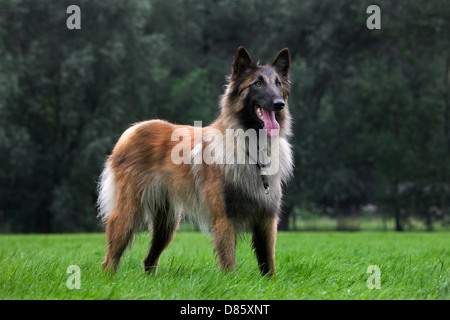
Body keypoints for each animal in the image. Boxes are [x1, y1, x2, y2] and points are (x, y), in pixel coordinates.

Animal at [98, 46, 294, 276]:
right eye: (258, 83)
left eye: (278, 84)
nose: (279, 104)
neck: (251, 148)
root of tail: (132, 130)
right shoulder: (224, 219)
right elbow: (229, 264)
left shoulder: (267, 220)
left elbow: (268, 265)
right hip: (129, 214)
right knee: (110, 258)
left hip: (167, 223)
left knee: (149, 260)